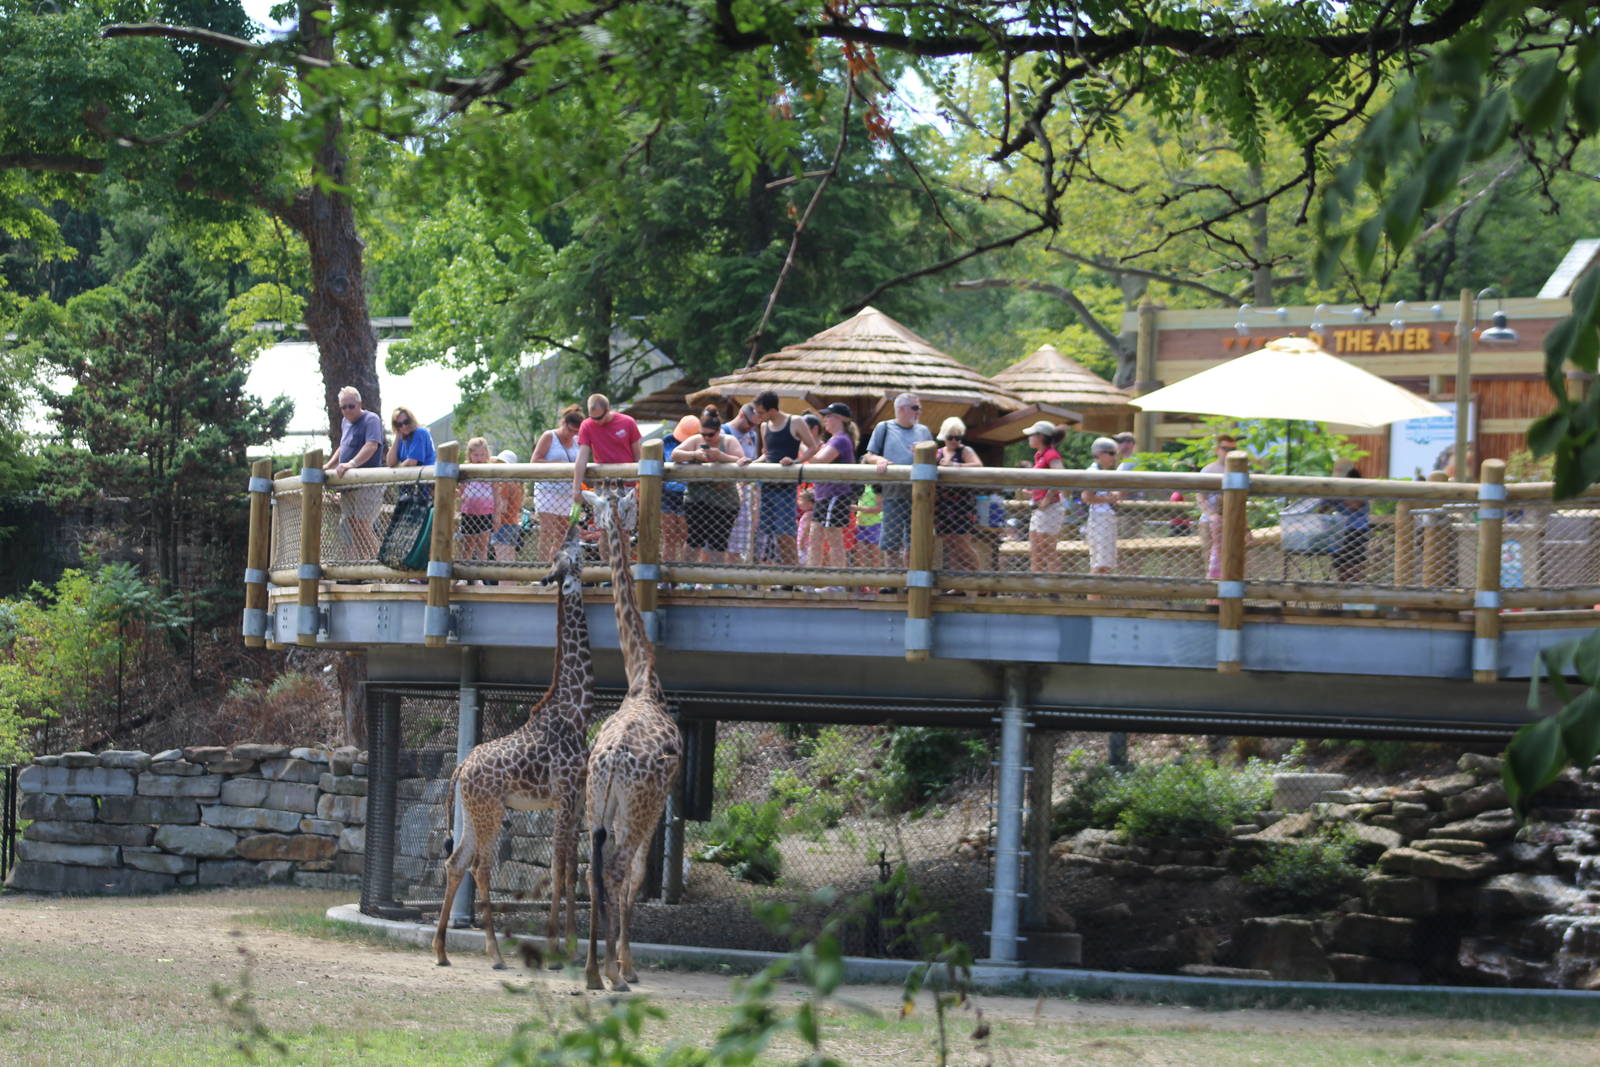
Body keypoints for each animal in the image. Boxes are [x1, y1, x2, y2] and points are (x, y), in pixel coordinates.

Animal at [432, 526, 594, 969]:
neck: (576, 709)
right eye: (571, 552)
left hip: (473, 812)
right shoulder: (566, 794)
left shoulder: (573, 799)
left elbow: (571, 868)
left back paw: (441, 950)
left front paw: (572, 945)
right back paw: (494, 953)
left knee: (456, 862)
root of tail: (460, 769)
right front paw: (557, 949)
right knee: (481, 867)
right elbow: (557, 868)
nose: (583, 535)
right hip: (490, 811)